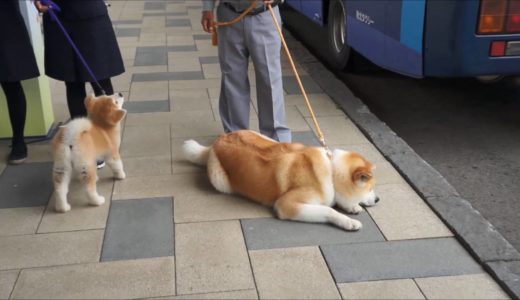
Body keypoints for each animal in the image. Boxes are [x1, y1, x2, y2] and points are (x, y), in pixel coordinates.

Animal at [183, 130, 378, 231]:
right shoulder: (288, 205)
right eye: (370, 188)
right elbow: (328, 210)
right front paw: (349, 222)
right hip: (220, 181)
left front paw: (352, 207)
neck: (331, 170)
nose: (378, 199)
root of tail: (216, 142)